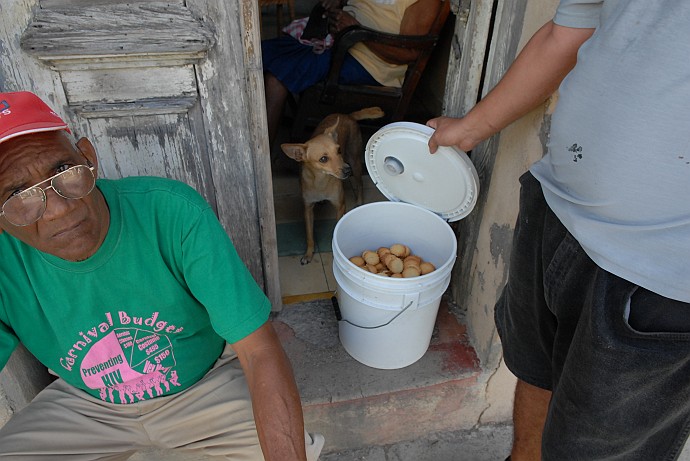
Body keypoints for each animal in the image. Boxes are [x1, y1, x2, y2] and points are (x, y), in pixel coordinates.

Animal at [282, 107, 384, 262]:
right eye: (323, 159)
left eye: (339, 150)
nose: (347, 170)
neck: (320, 181)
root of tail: (347, 115)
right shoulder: (307, 209)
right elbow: (309, 235)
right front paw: (308, 254)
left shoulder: (340, 206)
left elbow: (336, 227)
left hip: (355, 161)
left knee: (359, 184)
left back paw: (359, 201)